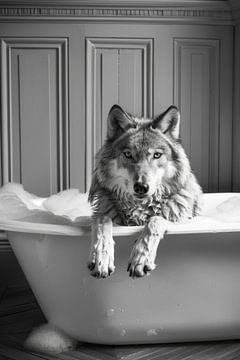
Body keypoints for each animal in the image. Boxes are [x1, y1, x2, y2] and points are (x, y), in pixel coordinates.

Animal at [87, 104, 202, 278]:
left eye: (157, 155)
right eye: (128, 154)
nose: (141, 187)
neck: (139, 209)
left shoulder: (178, 219)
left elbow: (155, 220)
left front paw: (141, 258)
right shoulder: (103, 214)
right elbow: (102, 220)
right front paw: (102, 257)